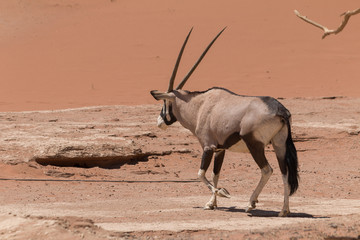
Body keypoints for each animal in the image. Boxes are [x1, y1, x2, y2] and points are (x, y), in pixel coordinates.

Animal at [149, 27, 298, 216]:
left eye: (165, 102)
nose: (159, 121)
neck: (200, 105)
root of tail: (281, 110)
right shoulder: (220, 149)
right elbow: (215, 174)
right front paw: (211, 203)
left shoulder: (208, 147)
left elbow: (200, 174)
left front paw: (222, 193)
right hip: (280, 145)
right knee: (284, 172)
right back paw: (284, 210)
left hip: (255, 145)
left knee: (267, 170)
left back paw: (251, 203)